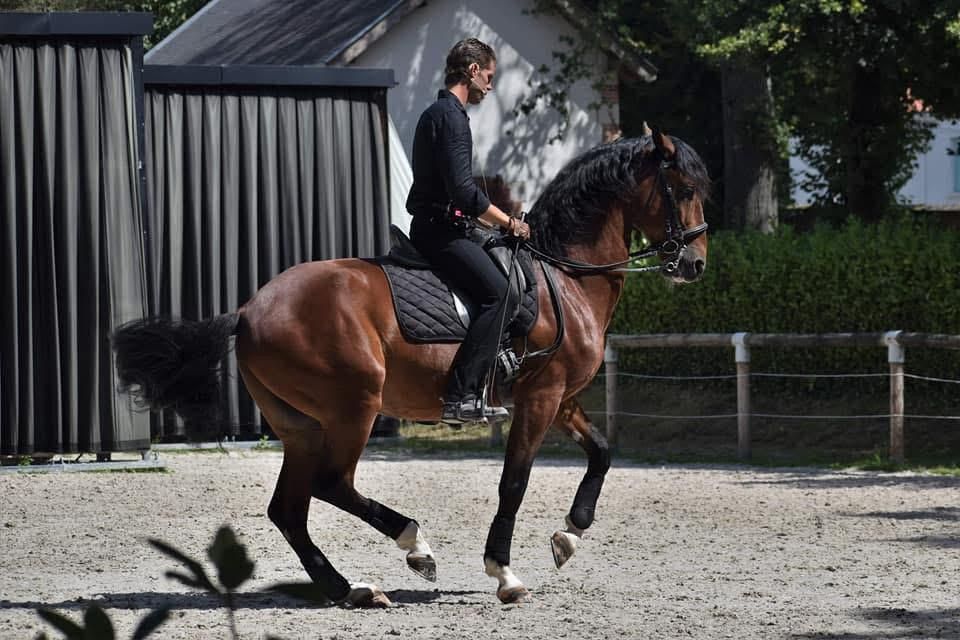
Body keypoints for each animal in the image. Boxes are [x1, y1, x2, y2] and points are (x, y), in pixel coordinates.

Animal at [114, 129, 712, 604]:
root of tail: (246, 311)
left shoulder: (559, 397)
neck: (564, 278)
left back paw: (349, 589)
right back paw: (413, 544)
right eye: (683, 191)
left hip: (301, 425)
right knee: (331, 485)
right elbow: (514, 482)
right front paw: (504, 573)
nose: (697, 265)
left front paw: (570, 534)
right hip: (354, 406)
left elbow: (603, 453)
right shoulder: (540, 399)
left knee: (289, 509)